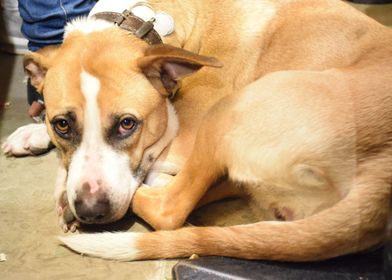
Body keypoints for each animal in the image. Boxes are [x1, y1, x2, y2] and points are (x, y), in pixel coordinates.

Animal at [3, 0, 392, 262]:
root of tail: (381, 177)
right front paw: (33, 132)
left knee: (170, 205)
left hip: (230, 109)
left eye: (128, 123)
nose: (90, 210)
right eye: (62, 124)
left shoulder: (179, 136)